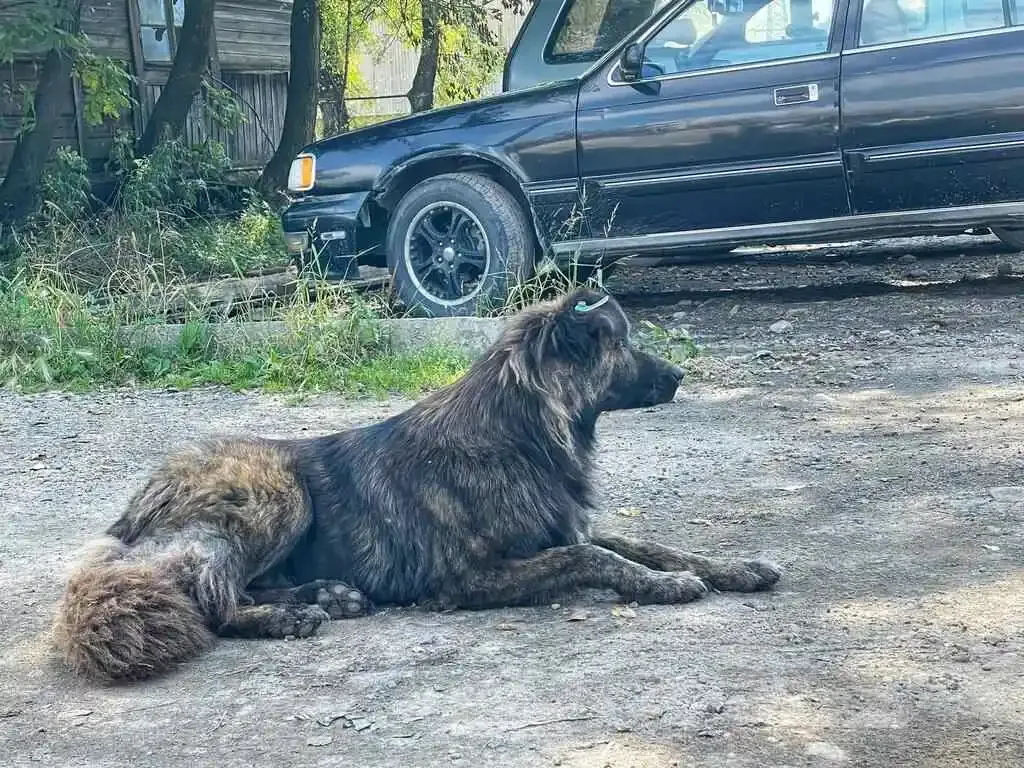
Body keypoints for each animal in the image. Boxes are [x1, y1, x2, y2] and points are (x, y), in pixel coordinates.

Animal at [51, 290, 778, 684]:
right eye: (621, 345)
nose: (680, 376)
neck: (521, 434)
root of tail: (138, 504)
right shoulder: (471, 578)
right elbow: (593, 556)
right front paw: (666, 586)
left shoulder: (566, 524)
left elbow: (644, 544)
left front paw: (729, 567)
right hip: (280, 495)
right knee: (211, 594)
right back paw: (288, 616)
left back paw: (329, 596)